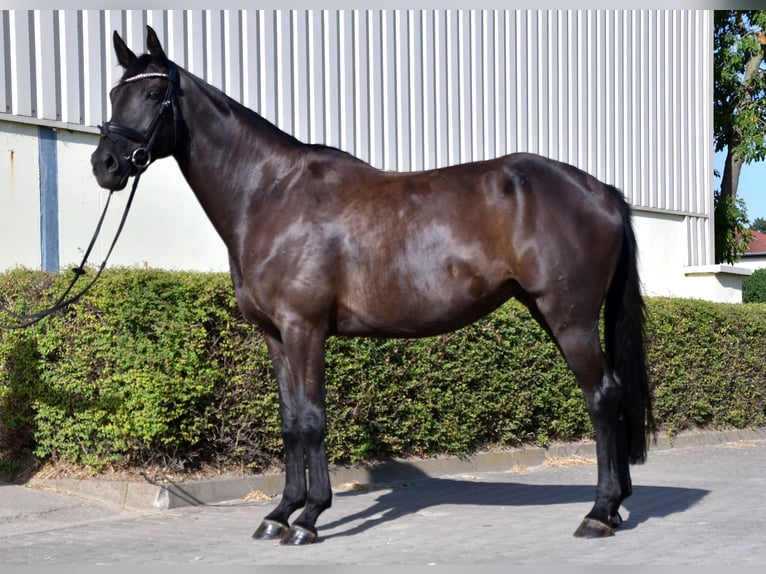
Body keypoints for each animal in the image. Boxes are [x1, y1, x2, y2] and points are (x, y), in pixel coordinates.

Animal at [91, 28, 656, 548]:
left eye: (153, 93)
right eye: (115, 94)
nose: (105, 165)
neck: (271, 195)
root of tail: (602, 191)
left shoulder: (305, 329)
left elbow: (312, 419)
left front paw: (309, 518)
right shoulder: (276, 335)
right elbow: (289, 419)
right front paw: (279, 513)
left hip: (569, 318)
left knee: (602, 395)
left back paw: (599, 512)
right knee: (613, 393)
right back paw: (616, 507)